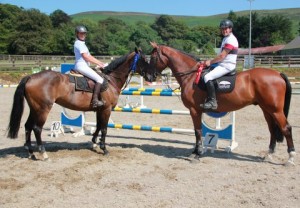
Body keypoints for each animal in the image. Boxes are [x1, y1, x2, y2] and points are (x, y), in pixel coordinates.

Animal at [6, 48, 152, 160]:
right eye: (145, 60)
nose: (151, 77)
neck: (111, 80)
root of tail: (30, 77)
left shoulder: (100, 110)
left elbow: (98, 126)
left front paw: (94, 142)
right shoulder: (106, 109)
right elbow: (104, 128)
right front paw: (104, 148)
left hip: (34, 108)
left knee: (28, 126)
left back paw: (30, 152)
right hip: (43, 109)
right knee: (36, 128)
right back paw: (43, 153)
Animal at [148, 41, 296, 166]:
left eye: (153, 57)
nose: (149, 77)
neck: (191, 76)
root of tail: (278, 73)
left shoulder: (194, 110)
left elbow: (198, 131)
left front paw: (197, 154)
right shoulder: (196, 111)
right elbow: (197, 131)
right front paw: (195, 152)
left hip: (275, 110)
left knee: (286, 128)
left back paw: (290, 158)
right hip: (266, 109)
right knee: (272, 129)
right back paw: (269, 154)